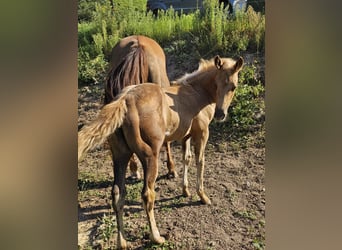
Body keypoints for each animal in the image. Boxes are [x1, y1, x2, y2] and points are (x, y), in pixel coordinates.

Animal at [78, 55, 243, 248]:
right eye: (218, 84)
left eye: (233, 86)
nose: (220, 114)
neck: (196, 92)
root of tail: (125, 100)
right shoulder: (202, 133)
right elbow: (200, 161)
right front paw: (202, 196)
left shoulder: (185, 135)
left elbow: (186, 158)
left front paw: (185, 190)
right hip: (150, 156)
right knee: (147, 195)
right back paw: (156, 237)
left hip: (120, 156)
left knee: (117, 194)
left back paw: (122, 242)